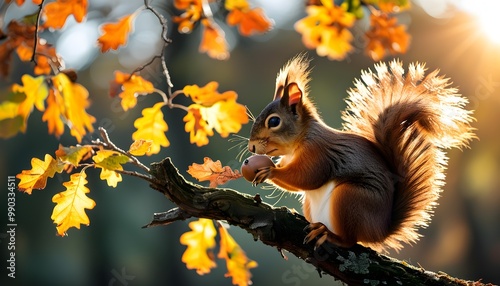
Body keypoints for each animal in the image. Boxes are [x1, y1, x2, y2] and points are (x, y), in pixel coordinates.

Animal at [248, 54, 474, 250]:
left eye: (274, 121)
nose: (251, 147)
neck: (300, 141)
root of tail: (379, 231)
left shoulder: (320, 153)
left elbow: (308, 177)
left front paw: (270, 171)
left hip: (351, 199)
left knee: (350, 240)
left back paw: (328, 234)